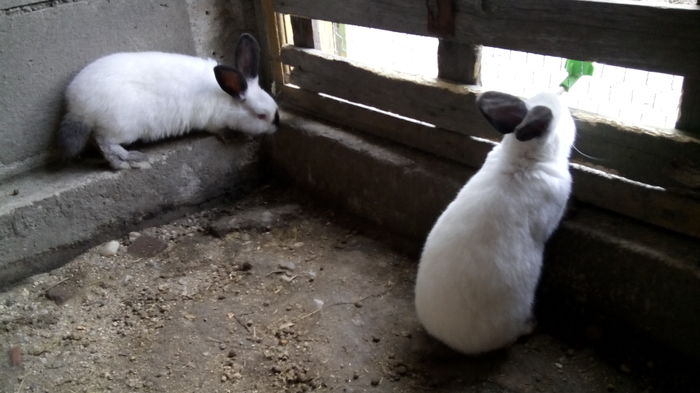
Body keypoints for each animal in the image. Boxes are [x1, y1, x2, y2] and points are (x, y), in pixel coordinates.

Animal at [56, 33, 278, 168]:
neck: (226, 99)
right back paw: (127, 161)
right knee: (105, 143)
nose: (277, 127)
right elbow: (219, 130)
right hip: (122, 127)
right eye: (261, 116)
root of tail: (78, 108)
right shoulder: (212, 121)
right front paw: (233, 136)